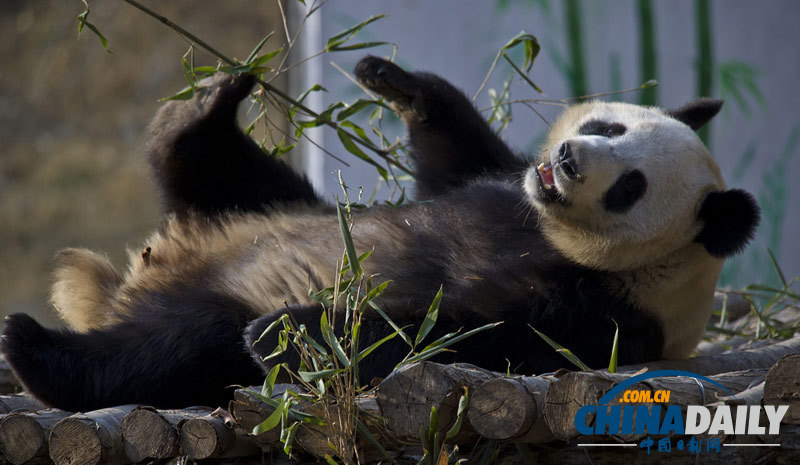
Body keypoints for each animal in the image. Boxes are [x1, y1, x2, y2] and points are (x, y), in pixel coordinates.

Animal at [0, 55, 760, 410]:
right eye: (609, 125)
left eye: (631, 185)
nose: (568, 160)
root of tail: (136, 280)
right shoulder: (503, 187)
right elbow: (455, 158)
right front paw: (394, 81)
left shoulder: (595, 312)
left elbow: (445, 333)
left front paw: (291, 329)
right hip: (266, 205)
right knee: (212, 165)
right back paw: (211, 102)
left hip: (203, 310)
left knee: (174, 346)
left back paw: (36, 348)